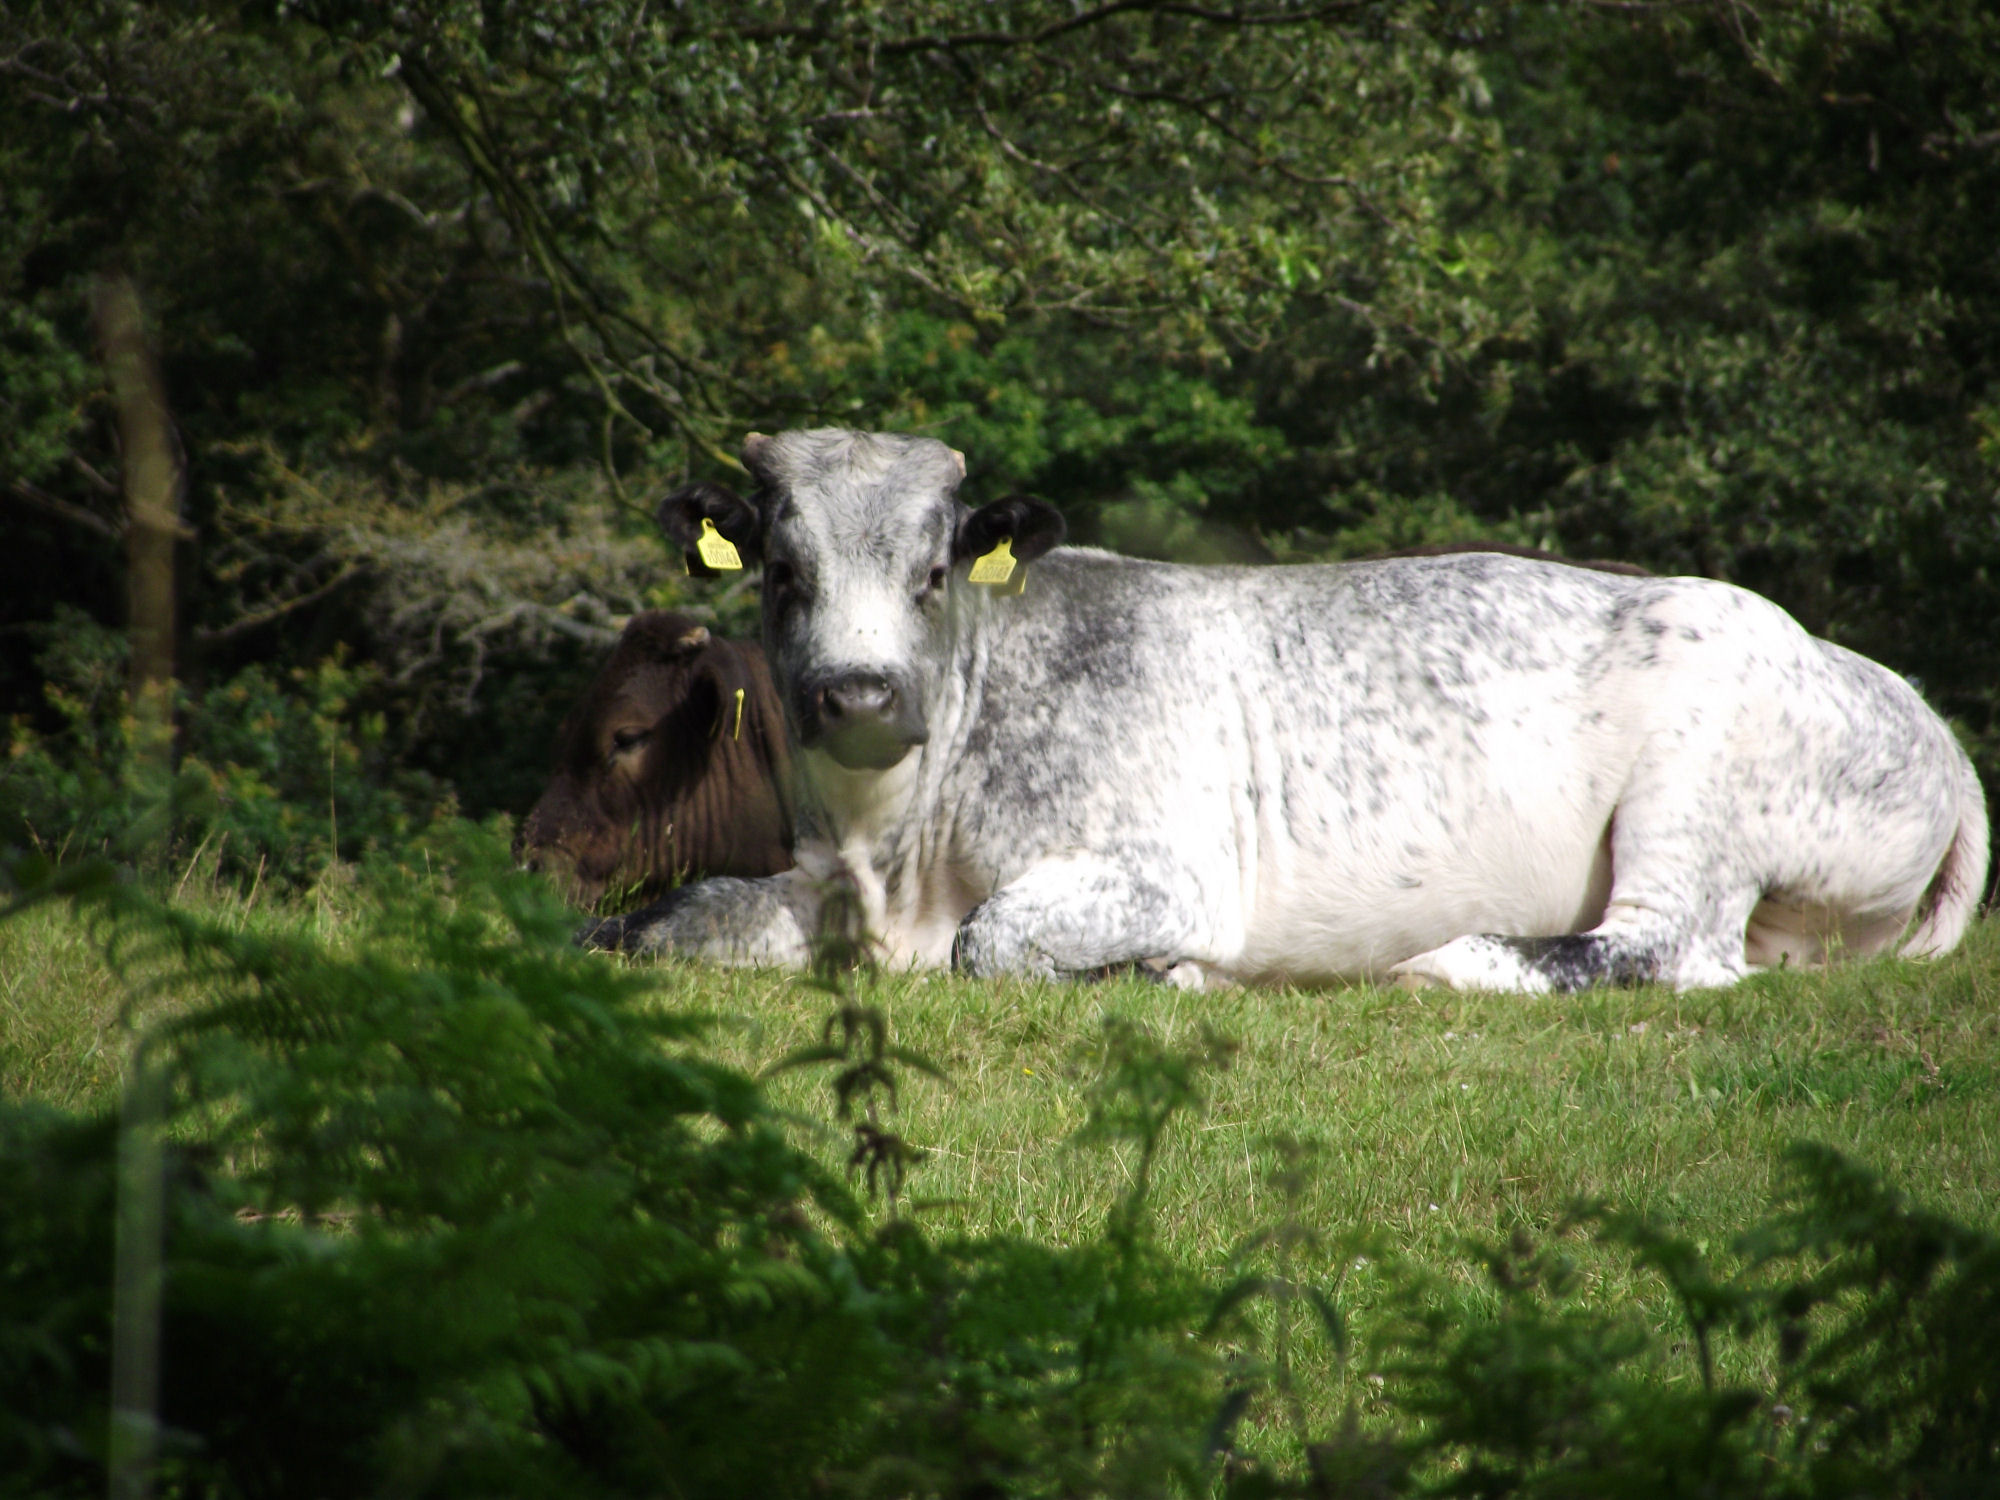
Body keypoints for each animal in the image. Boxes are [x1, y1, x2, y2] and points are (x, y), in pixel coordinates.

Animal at [600, 428, 1992, 992]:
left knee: (1664, 948)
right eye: (784, 573)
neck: (896, 852)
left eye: (932, 573)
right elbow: (664, 923)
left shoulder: (1166, 870)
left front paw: (1163, 975)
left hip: (1692, 784)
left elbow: (991, 943)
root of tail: (1907, 703)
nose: (858, 692)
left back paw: (1442, 965)